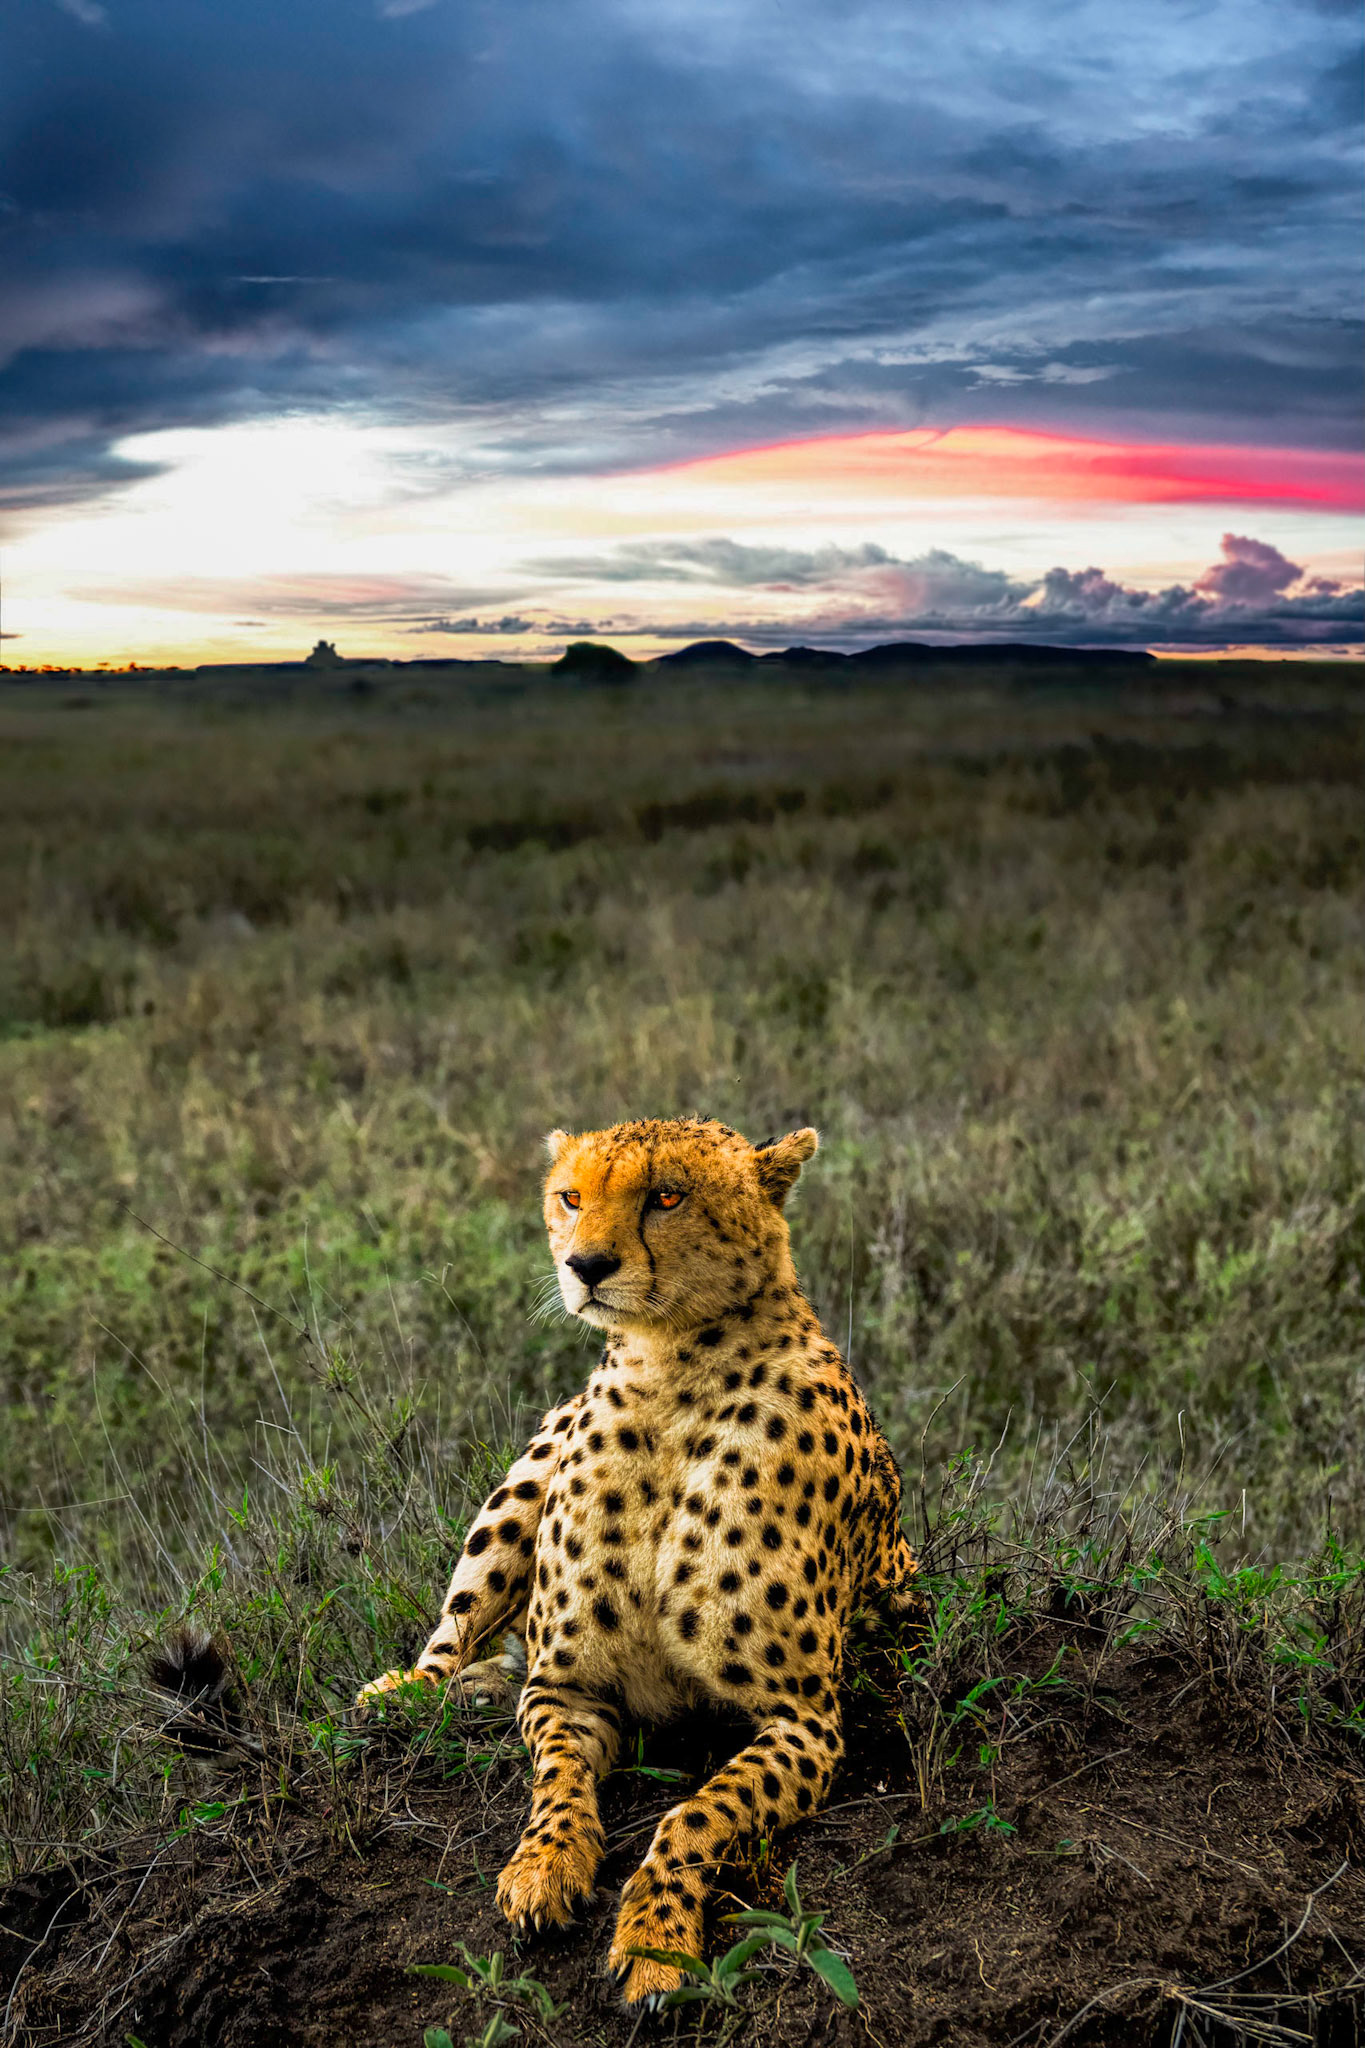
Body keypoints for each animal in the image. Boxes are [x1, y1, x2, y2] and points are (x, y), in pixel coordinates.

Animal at [358, 1115, 922, 2006]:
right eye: (570, 1196)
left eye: (665, 1197)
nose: (584, 1266)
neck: (671, 1373)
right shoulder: (565, 1687)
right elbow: (555, 1782)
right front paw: (543, 1868)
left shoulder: (803, 1720)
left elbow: (697, 1812)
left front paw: (656, 1940)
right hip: (522, 1480)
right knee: (454, 1638)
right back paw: (409, 1692)